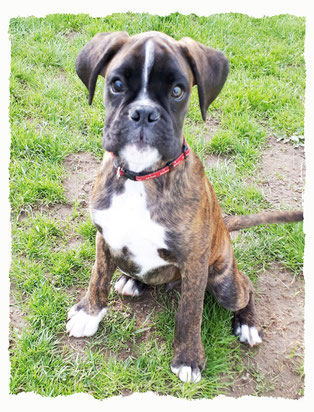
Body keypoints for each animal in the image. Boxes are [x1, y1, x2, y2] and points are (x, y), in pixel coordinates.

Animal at [65, 31, 302, 384]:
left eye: (177, 91)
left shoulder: (194, 263)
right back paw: (133, 281)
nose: (144, 113)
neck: (143, 177)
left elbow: (189, 313)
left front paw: (188, 359)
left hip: (224, 281)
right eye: (116, 84)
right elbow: (98, 276)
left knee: (245, 286)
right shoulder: (104, 236)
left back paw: (246, 324)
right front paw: (89, 313)